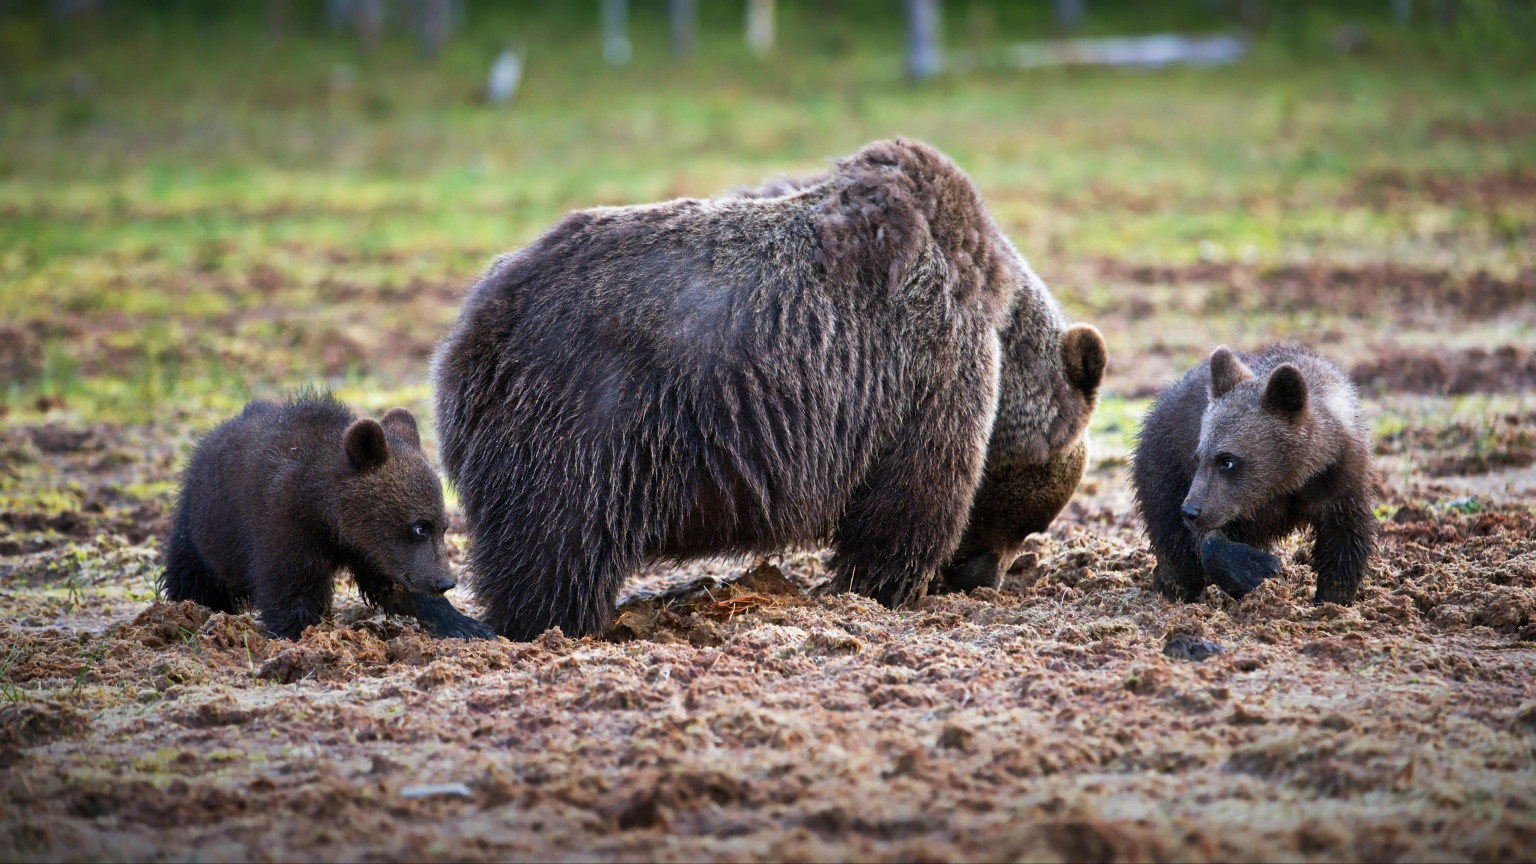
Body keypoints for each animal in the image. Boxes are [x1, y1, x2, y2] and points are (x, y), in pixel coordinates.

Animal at [433, 139, 1105, 639]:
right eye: (1034, 518)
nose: (984, 577)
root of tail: (476, 322)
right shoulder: (929, 370)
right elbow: (912, 496)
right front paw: (886, 586)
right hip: (585, 419)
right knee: (556, 544)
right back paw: (560, 625)